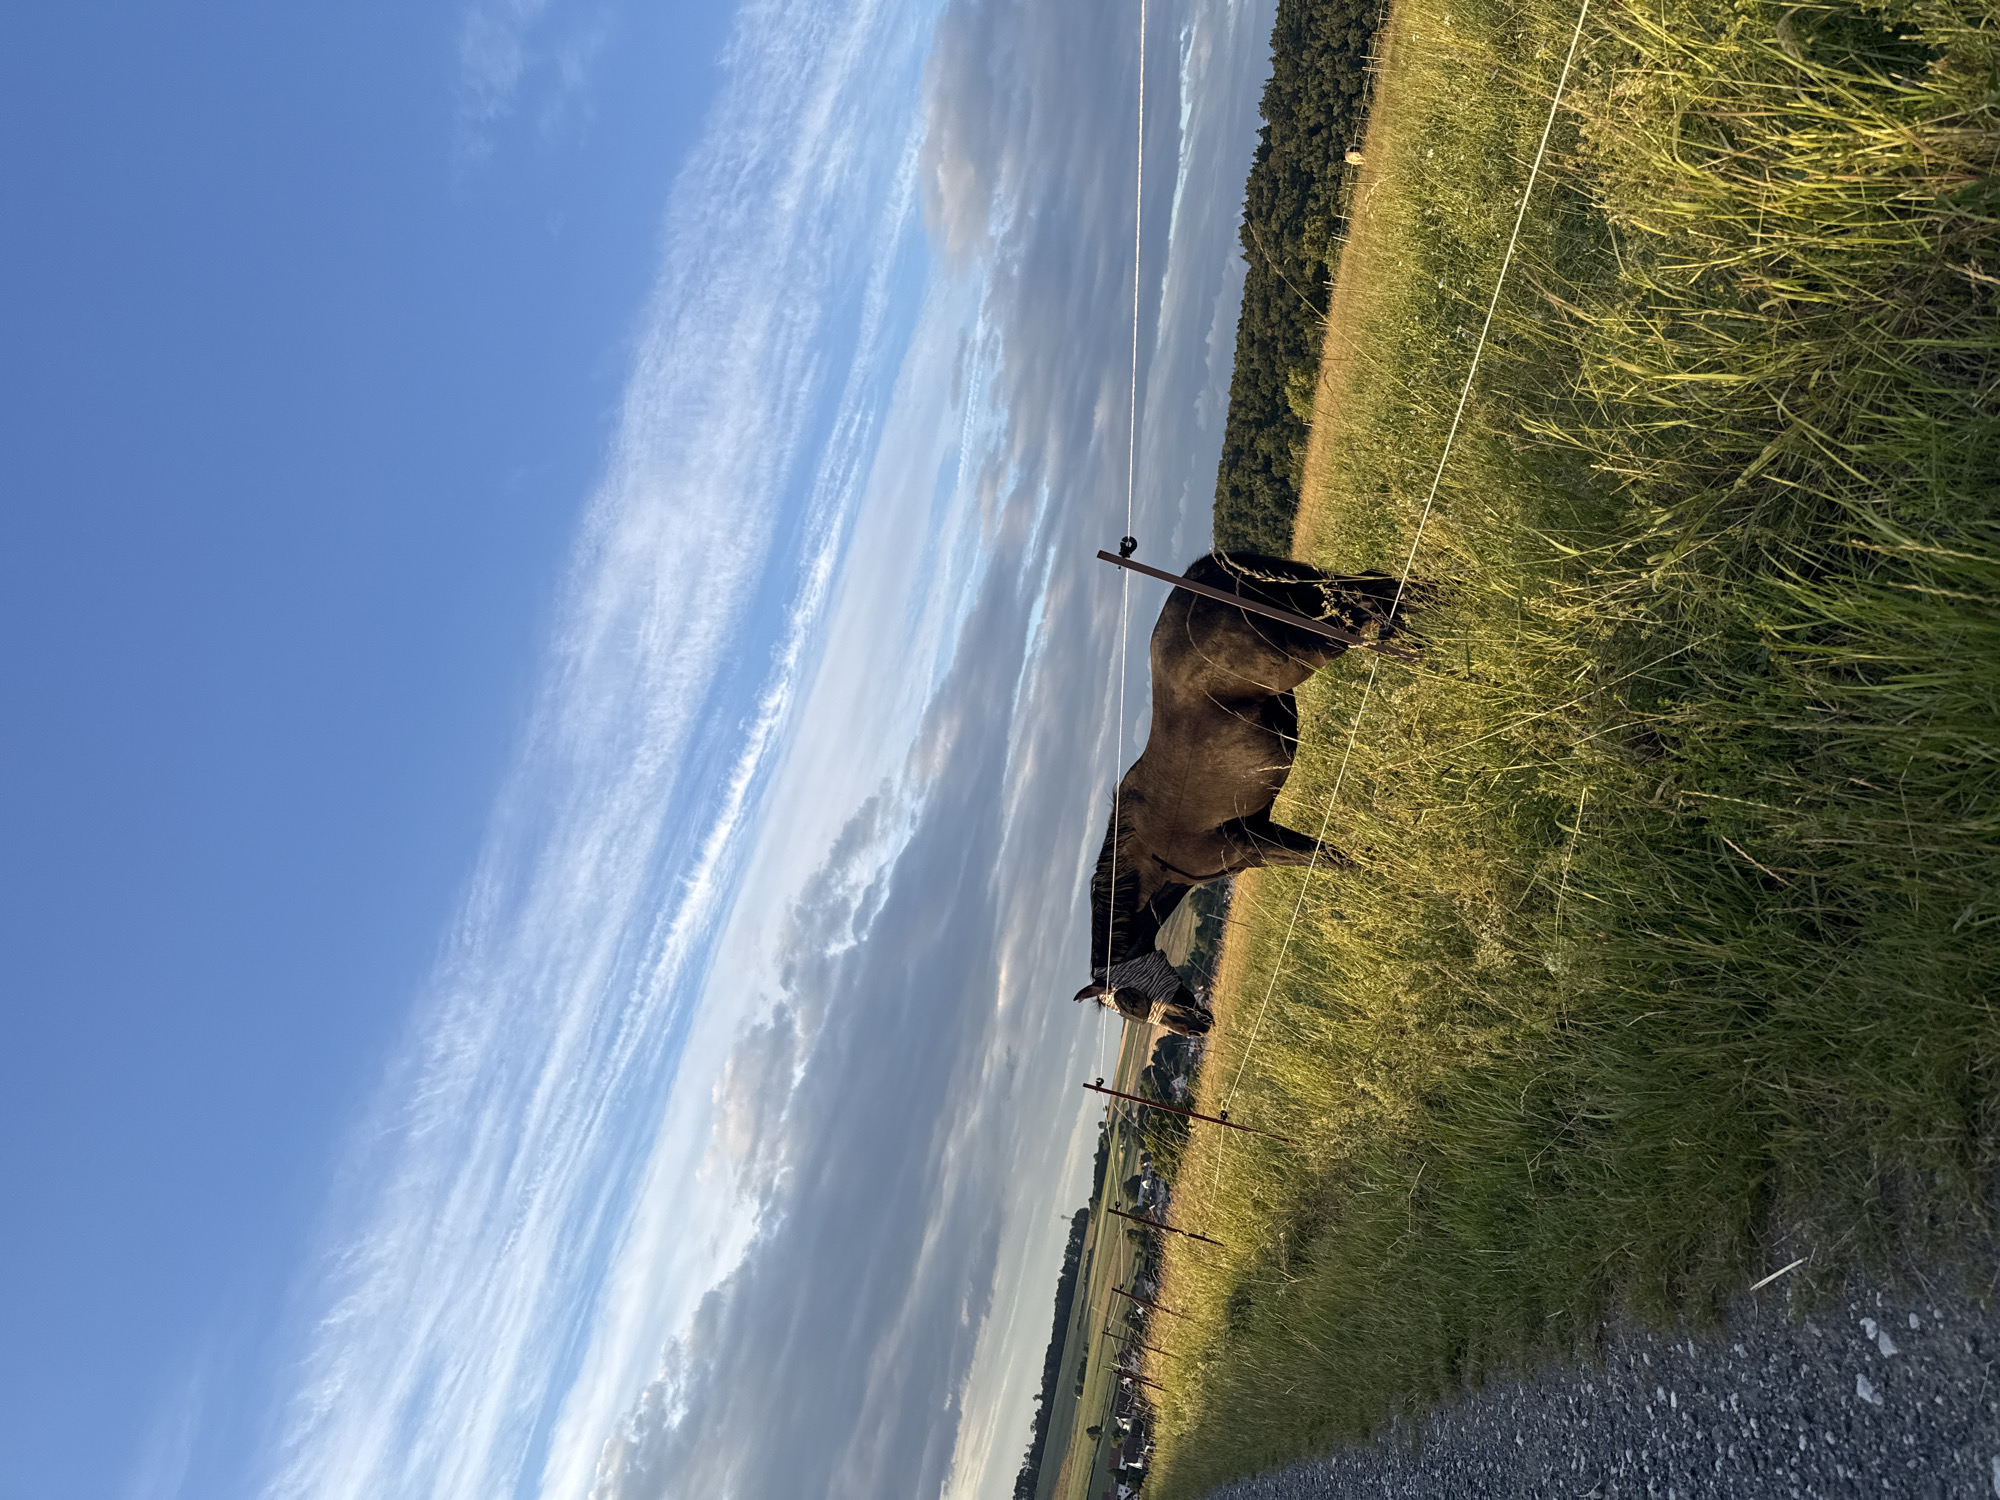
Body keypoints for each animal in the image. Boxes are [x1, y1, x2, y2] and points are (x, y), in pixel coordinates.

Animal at [1079, 552, 1419, 985]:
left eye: (1131, 998)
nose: (1191, 1010)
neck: (1153, 853)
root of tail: (1206, 573)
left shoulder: (1253, 846)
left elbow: (1328, 859)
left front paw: (1389, 884)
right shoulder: (1259, 833)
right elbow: (1325, 854)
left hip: (1324, 638)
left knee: (1370, 600)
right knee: (1378, 587)